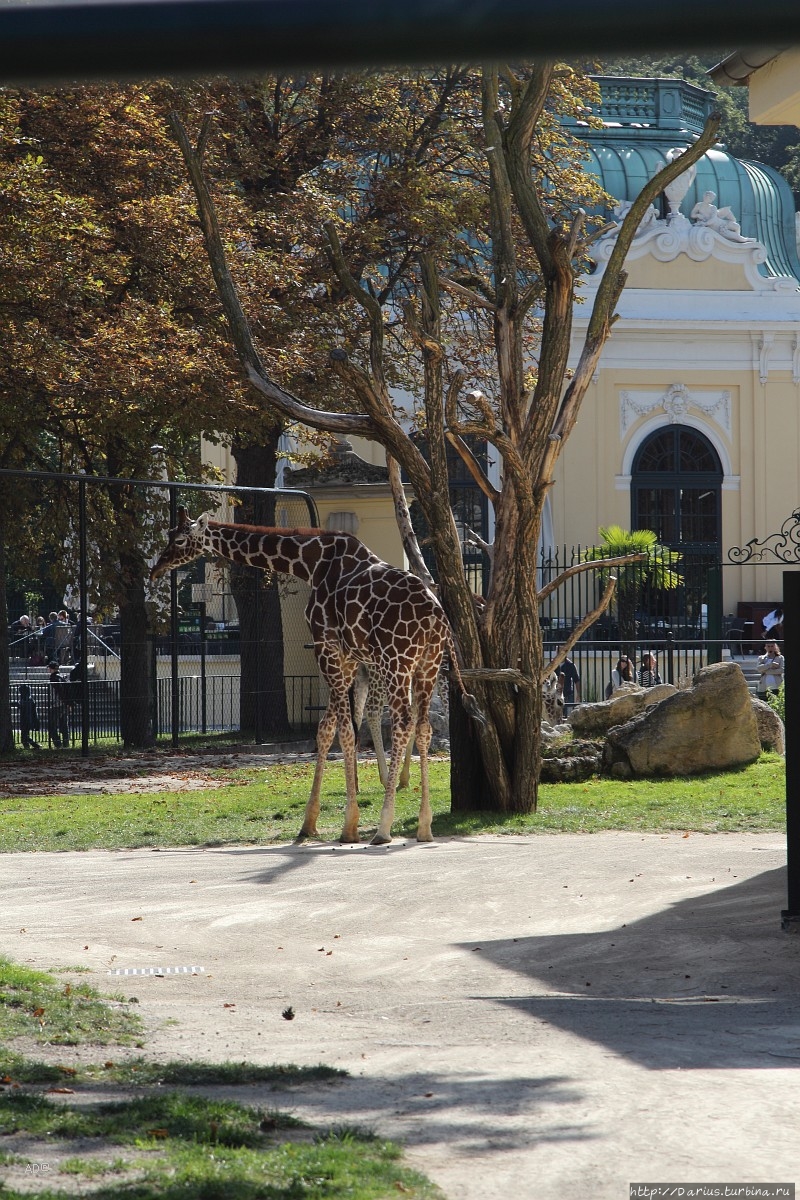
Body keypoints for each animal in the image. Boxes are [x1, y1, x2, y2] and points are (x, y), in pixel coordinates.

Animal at [152, 508, 484, 844]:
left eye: (179, 540)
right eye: (168, 535)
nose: (156, 569)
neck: (310, 564)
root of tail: (438, 617)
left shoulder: (327, 647)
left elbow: (339, 729)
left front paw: (341, 825)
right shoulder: (349, 658)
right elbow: (333, 727)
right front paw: (321, 821)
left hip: (397, 660)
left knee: (403, 722)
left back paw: (383, 827)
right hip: (427, 664)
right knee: (423, 726)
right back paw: (424, 826)